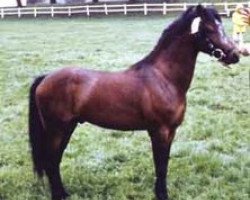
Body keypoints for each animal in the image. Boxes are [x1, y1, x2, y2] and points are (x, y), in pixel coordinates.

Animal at [28, 5, 240, 200]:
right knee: (51, 161)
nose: (235, 55)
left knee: (55, 160)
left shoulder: (170, 131)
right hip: (57, 129)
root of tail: (45, 78)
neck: (164, 78)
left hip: (67, 128)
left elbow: (164, 163)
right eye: (209, 29)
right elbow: (160, 166)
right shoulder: (160, 131)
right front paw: (161, 195)